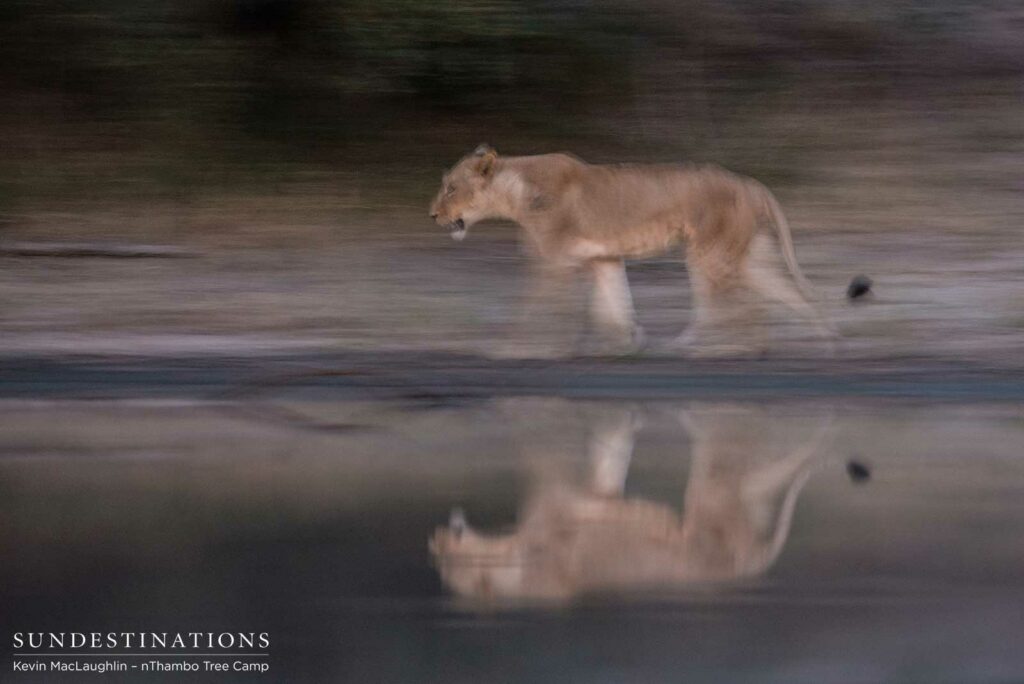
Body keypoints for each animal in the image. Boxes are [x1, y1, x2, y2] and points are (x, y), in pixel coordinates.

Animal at [428, 403, 834, 604]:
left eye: (448, 567)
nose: (436, 539)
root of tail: (746, 568)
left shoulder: (562, 500)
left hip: (710, 499)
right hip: (730, 500)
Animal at [429, 145, 836, 356]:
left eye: (451, 188)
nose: (432, 214)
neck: (514, 194)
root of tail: (750, 183)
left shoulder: (554, 261)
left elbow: (536, 306)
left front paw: (515, 349)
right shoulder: (603, 258)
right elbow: (613, 305)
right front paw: (626, 345)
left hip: (710, 253)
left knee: (733, 307)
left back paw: (714, 348)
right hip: (749, 256)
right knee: (787, 296)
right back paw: (820, 342)